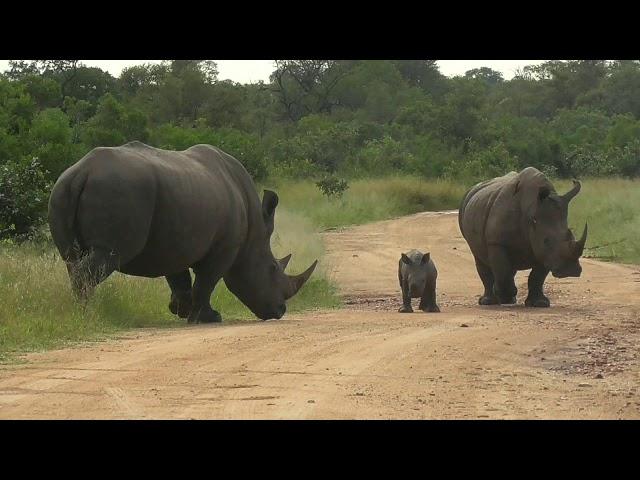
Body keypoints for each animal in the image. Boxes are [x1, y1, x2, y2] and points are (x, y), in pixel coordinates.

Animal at [47, 142, 318, 322]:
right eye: (272, 269)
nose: (280, 311)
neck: (254, 231)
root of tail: (82, 172)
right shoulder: (225, 248)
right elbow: (207, 281)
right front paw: (208, 317)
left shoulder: (175, 238)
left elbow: (179, 277)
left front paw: (179, 309)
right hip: (117, 190)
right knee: (105, 257)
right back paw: (86, 314)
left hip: (61, 190)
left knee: (71, 258)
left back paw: (77, 310)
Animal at [458, 165, 588, 308]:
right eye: (546, 241)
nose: (569, 271)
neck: (532, 214)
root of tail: (473, 189)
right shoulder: (497, 242)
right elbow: (503, 271)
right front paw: (505, 298)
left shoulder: (542, 250)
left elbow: (537, 277)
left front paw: (539, 303)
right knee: (480, 258)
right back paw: (489, 301)